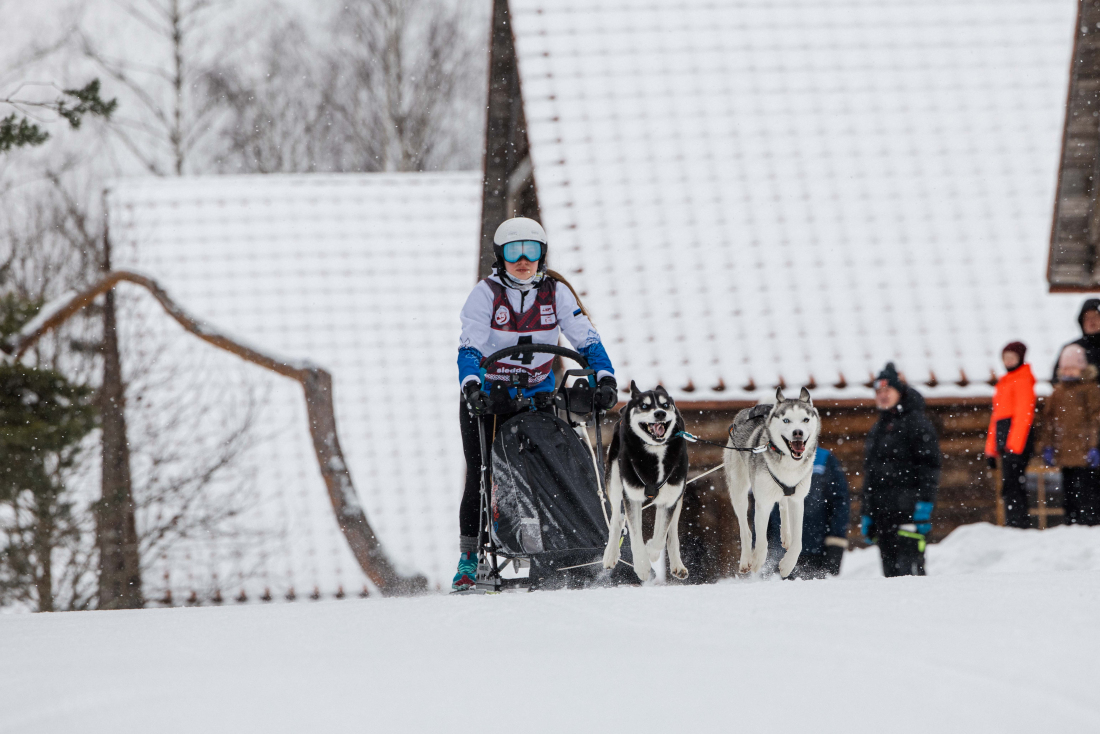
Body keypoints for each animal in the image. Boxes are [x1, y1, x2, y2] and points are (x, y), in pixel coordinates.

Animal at [602, 382, 689, 581]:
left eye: (665, 405)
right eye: (644, 405)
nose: (660, 413)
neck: (655, 451)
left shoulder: (670, 499)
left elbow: (661, 537)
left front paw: (651, 551)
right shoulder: (632, 497)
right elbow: (635, 535)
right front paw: (642, 565)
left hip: (679, 495)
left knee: (672, 532)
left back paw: (677, 564)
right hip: (615, 481)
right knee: (616, 519)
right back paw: (610, 554)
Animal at [724, 387, 820, 578]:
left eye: (805, 419)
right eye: (786, 420)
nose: (798, 432)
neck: (789, 464)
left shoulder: (798, 500)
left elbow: (799, 541)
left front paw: (787, 565)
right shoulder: (763, 503)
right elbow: (761, 540)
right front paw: (757, 561)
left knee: (783, 504)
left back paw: (786, 535)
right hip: (738, 490)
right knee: (745, 530)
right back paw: (746, 559)